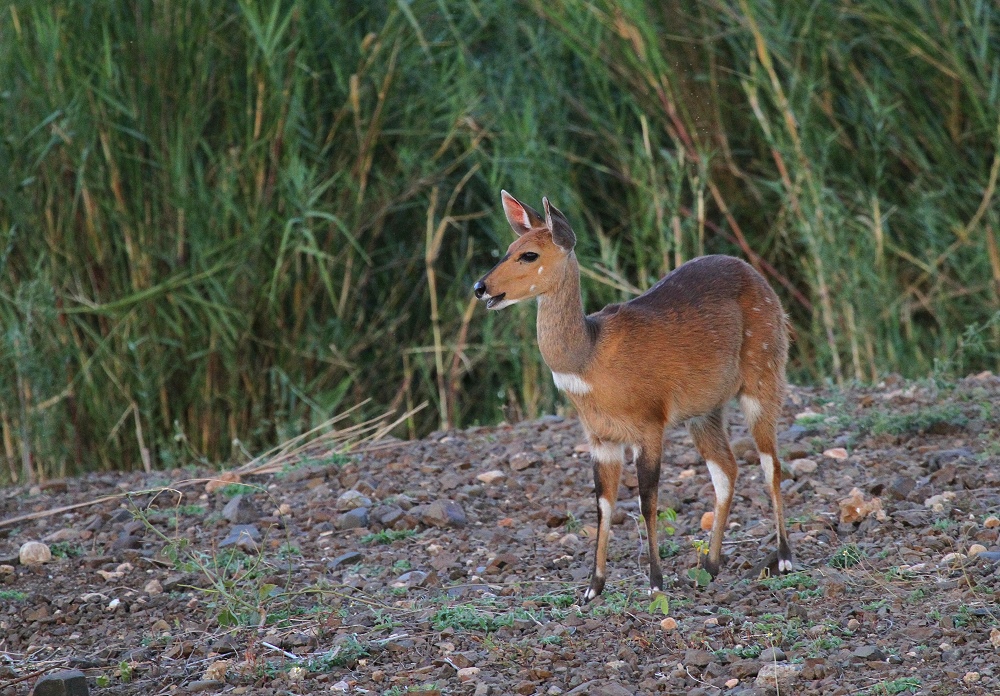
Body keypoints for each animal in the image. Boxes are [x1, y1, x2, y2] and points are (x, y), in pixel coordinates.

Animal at [472, 193, 792, 600]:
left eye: (529, 255)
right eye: (508, 250)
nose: (480, 287)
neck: (589, 359)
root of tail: (759, 278)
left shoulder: (649, 426)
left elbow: (647, 500)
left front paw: (656, 583)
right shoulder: (600, 439)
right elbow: (603, 504)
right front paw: (592, 589)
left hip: (763, 378)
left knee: (770, 465)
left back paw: (784, 558)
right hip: (703, 412)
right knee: (727, 470)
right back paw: (709, 566)